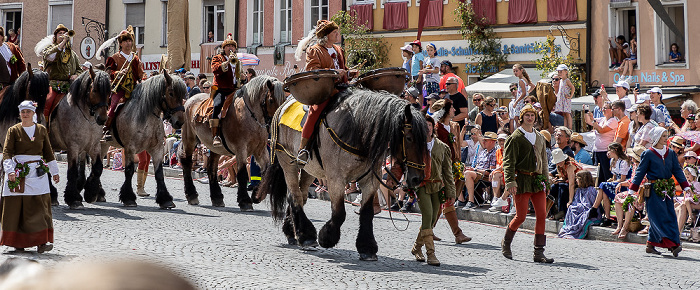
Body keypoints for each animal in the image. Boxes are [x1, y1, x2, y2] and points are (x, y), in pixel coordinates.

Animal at [47, 67, 110, 208]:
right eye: (95, 90)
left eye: (110, 91)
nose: (102, 118)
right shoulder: (73, 147)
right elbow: (73, 171)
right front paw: (74, 198)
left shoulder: (94, 145)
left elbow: (98, 167)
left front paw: (91, 193)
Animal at [103, 72, 186, 208]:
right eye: (171, 93)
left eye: (183, 95)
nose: (179, 122)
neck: (145, 116)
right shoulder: (130, 149)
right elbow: (129, 171)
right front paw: (128, 198)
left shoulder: (157, 149)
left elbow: (159, 173)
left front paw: (165, 199)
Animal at [183, 75, 288, 210]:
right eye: (271, 100)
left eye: (285, 100)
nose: (277, 123)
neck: (251, 116)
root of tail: (190, 100)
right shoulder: (241, 149)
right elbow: (242, 173)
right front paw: (245, 200)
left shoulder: (260, 150)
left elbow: (266, 170)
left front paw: (257, 195)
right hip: (189, 138)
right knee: (187, 162)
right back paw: (192, 195)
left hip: (215, 148)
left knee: (212, 167)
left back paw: (217, 197)